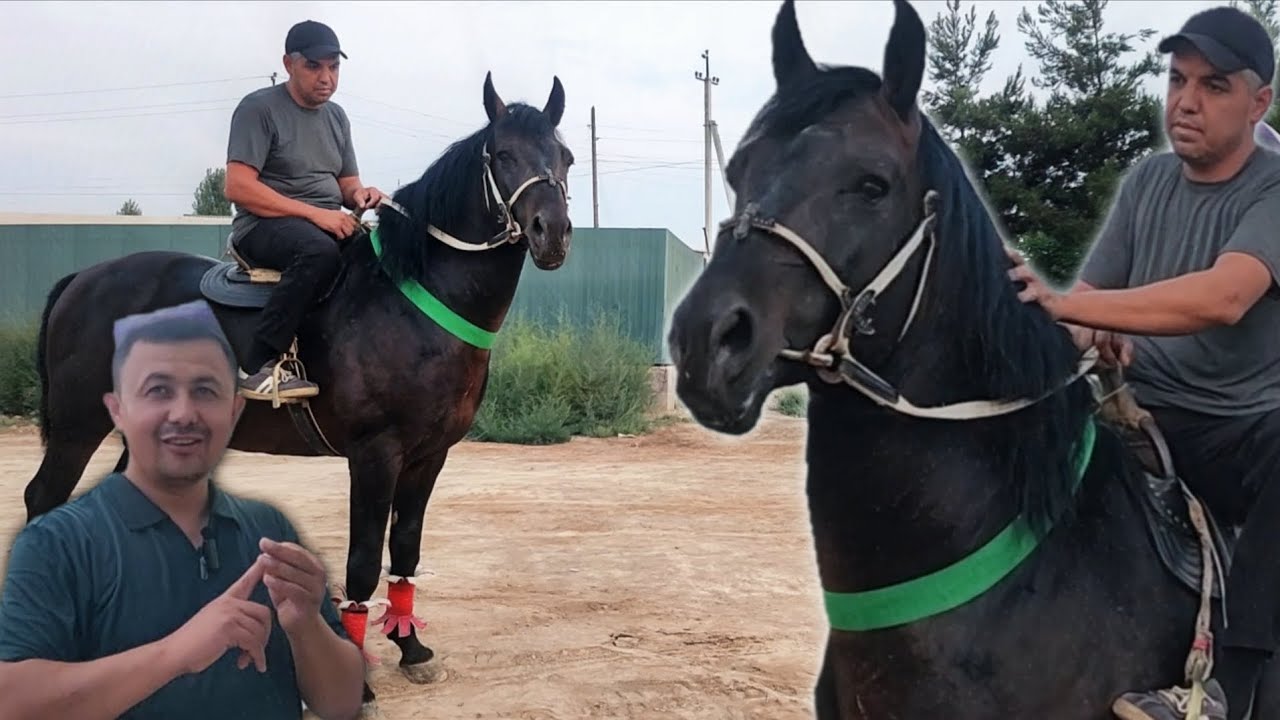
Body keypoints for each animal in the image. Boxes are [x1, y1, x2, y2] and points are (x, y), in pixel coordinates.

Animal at [22, 71, 574, 712]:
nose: (552, 233)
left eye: (565, 158)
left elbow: (405, 550)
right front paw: (358, 680)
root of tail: (81, 279)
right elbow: (362, 562)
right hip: (76, 426)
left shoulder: (428, 456)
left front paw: (411, 650)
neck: (411, 298)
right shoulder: (375, 455)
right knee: (42, 499)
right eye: (504, 154)